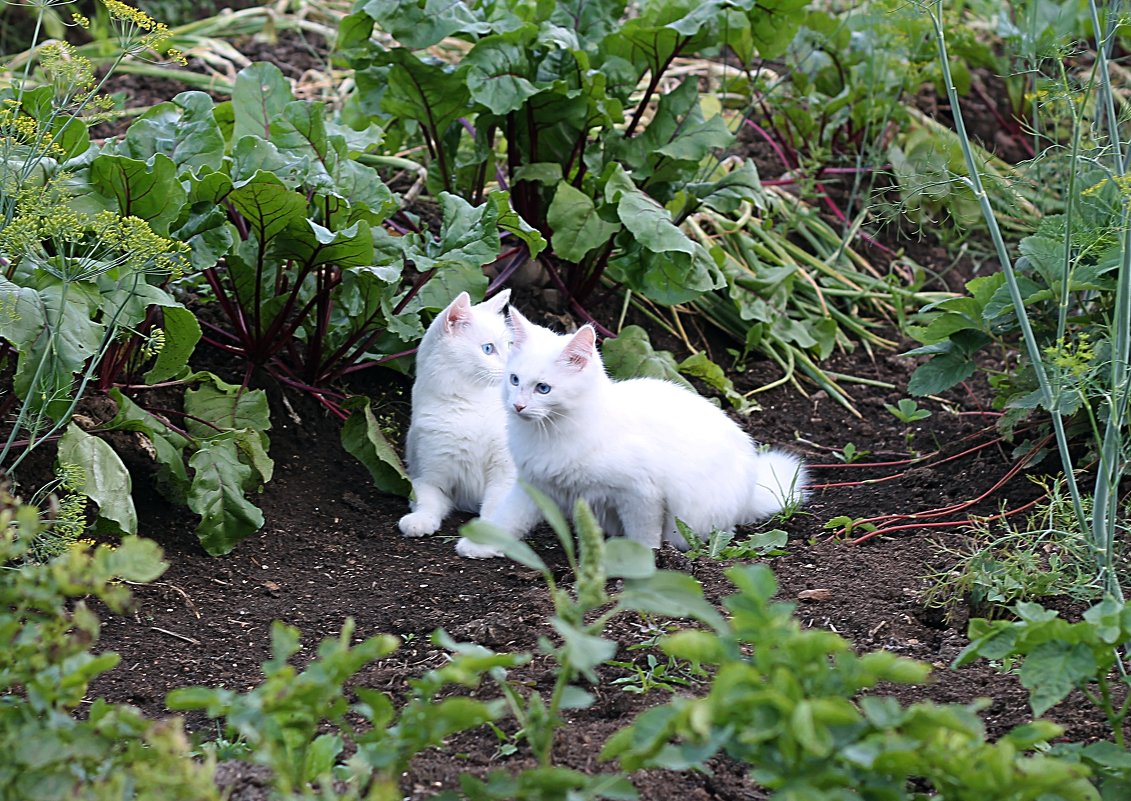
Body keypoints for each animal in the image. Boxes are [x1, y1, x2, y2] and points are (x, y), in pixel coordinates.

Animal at [400, 287, 515, 538]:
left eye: (510, 346)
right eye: (488, 349)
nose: (514, 369)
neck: (471, 403)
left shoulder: (505, 475)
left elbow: (495, 507)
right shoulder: (429, 478)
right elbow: (426, 501)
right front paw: (419, 521)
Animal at [454, 309, 809, 561]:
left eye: (543, 388)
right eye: (514, 379)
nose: (517, 405)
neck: (551, 432)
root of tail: (750, 485)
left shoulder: (640, 494)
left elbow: (644, 535)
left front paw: (642, 562)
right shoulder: (534, 485)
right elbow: (507, 519)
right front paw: (480, 545)